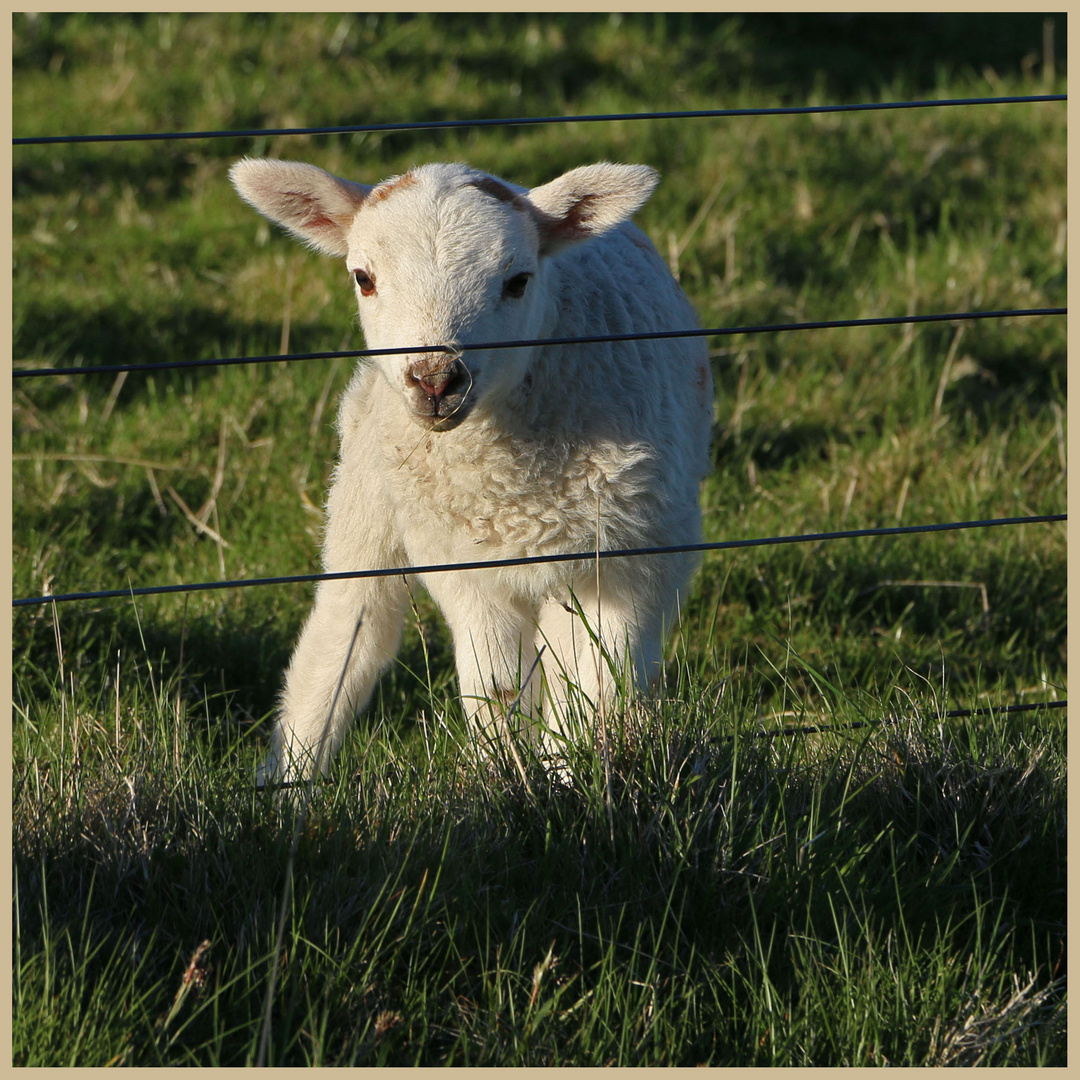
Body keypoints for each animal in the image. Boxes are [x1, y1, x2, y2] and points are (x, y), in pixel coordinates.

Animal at [232, 157, 712, 786]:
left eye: (518, 280)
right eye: (363, 278)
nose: (436, 380)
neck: (511, 487)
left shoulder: (625, 567)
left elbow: (595, 695)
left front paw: (572, 783)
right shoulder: (468, 572)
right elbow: (494, 694)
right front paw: (506, 781)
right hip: (369, 500)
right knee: (345, 637)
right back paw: (290, 781)